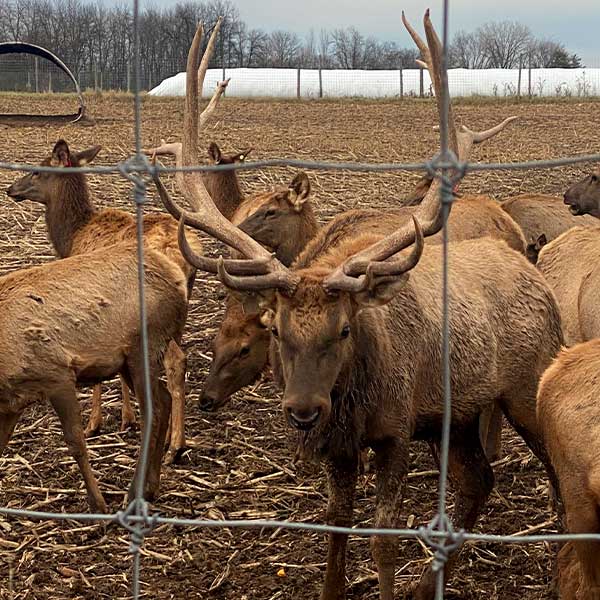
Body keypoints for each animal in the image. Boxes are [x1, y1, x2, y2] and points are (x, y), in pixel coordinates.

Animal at [0, 243, 188, 510]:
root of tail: (178, 277)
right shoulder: (11, 404)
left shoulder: (57, 375)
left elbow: (75, 442)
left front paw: (97, 503)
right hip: (128, 362)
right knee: (164, 398)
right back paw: (151, 487)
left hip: (143, 347)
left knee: (154, 410)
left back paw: (134, 493)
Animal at [151, 10, 564, 600]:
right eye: (277, 331)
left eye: (344, 329)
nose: (303, 409)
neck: (355, 398)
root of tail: (532, 265)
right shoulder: (340, 445)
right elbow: (336, 531)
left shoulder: (396, 429)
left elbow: (383, 537)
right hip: (458, 412)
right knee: (477, 481)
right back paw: (429, 583)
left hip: (528, 388)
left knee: (556, 480)